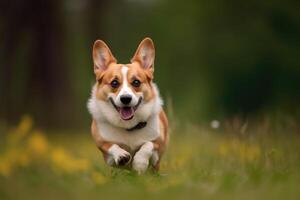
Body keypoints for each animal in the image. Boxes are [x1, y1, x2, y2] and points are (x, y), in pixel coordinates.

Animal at [88, 37, 169, 173]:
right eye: (114, 83)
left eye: (136, 82)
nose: (126, 99)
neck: (129, 127)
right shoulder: (104, 148)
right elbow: (111, 146)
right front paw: (121, 155)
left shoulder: (158, 146)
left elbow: (147, 145)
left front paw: (139, 164)